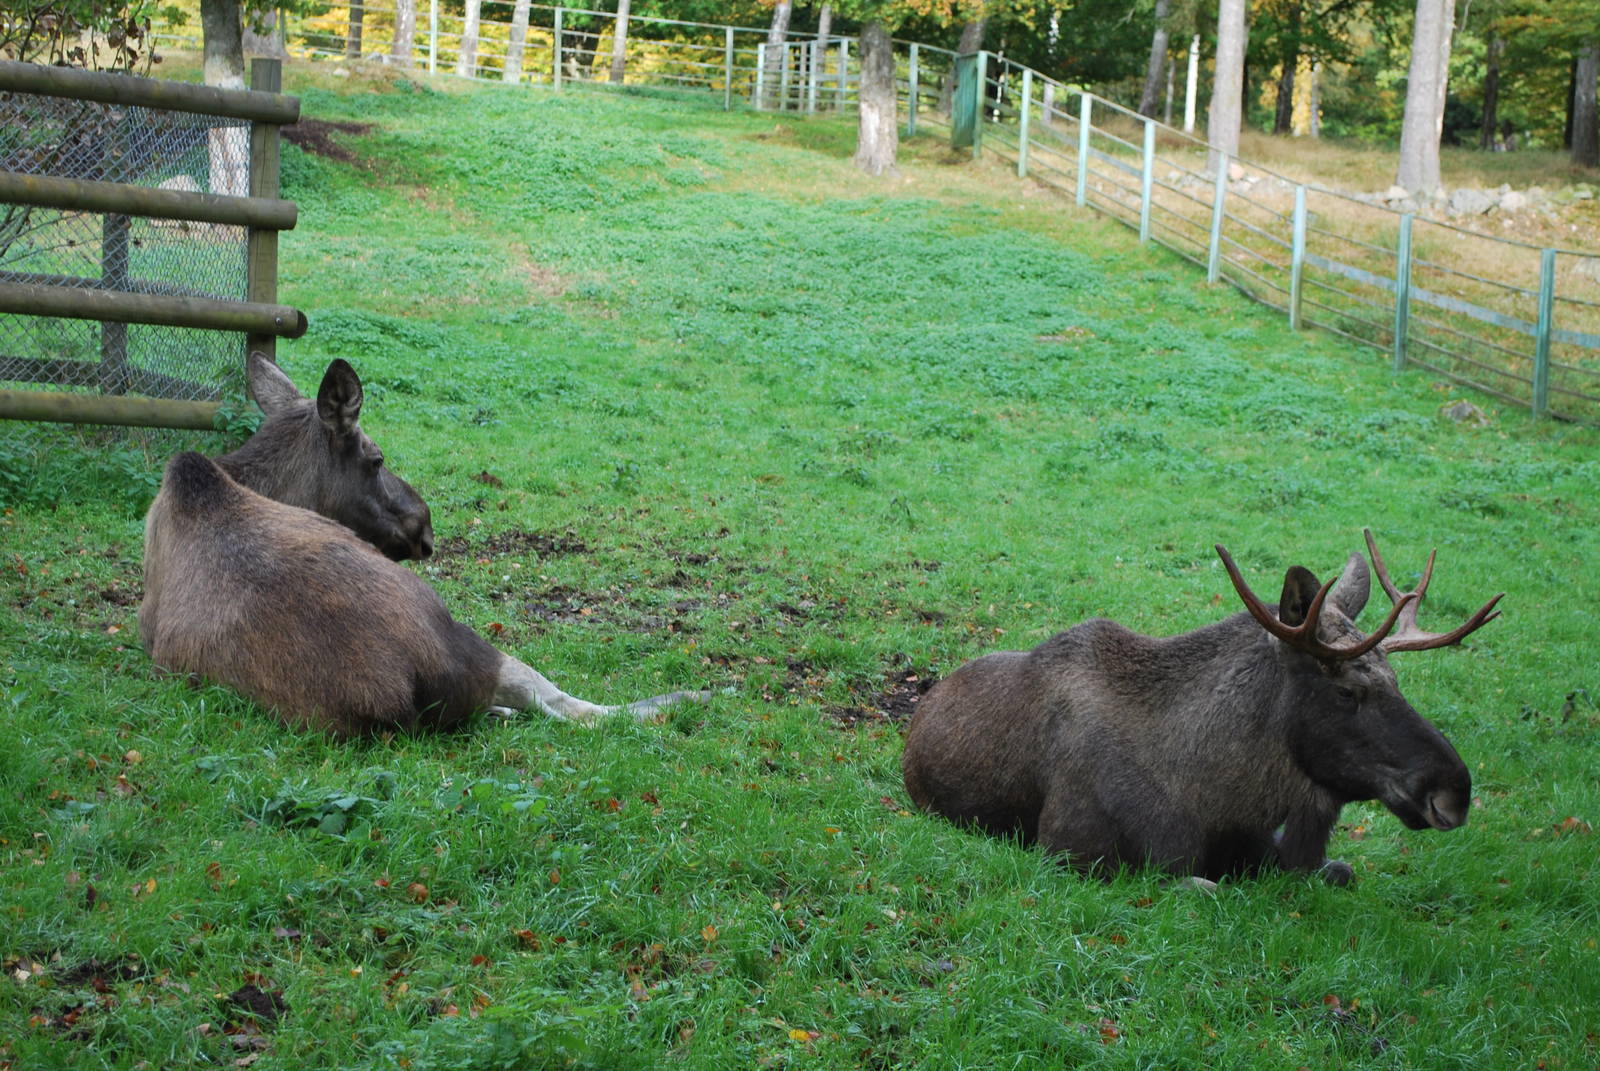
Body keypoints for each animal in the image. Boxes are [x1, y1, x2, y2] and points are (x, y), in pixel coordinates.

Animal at [138, 353, 706, 735]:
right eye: (377, 458)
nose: (425, 528)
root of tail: (397, 690)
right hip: (477, 643)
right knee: (576, 710)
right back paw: (691, 694)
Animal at [900, 532, 1502, 885]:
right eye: (1347, 691)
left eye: (1396, 680)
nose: (1454, 789)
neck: (1219, 795)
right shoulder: (1070, 853)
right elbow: (1202, 885)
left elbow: (1339, 870)